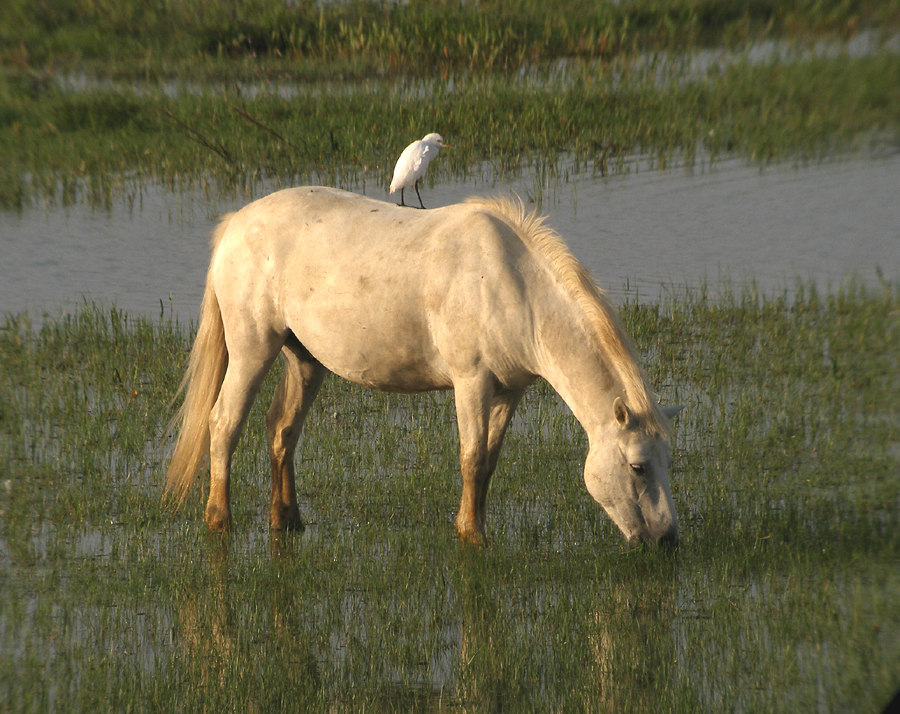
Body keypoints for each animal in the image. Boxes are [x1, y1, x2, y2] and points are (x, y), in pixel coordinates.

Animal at [165, 185, 684, 544]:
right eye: (638, 467)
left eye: (668, 463)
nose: (667, 539)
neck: (511, 283)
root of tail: (234, 224)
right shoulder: (471, 382)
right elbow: (471, 458)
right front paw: (471, 535)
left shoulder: (510, 391)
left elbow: (489, 461)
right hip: (253, 349)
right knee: (224, 423)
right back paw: (219, 520)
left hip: (304, 361)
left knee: (281, 430)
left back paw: (287, 520)